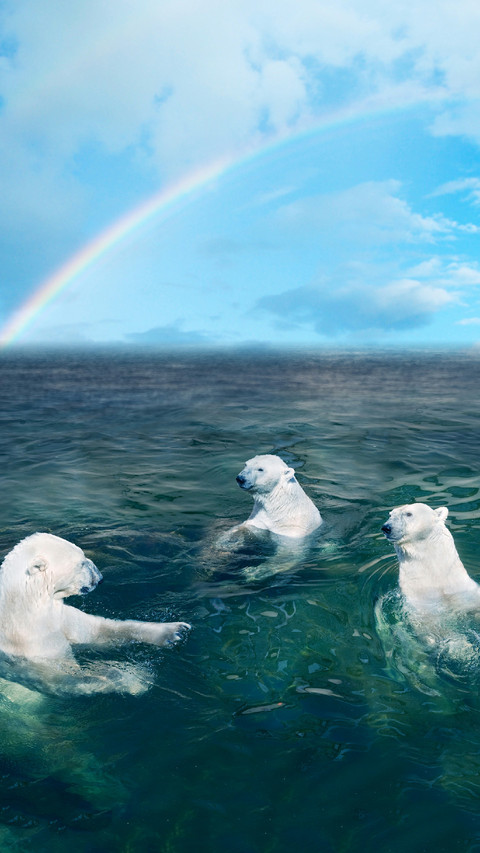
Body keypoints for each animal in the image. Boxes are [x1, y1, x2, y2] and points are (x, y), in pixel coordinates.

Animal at [0, 532, 191, 696]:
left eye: (83, 555)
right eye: (81, 563)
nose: (100, 578)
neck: (28, 606)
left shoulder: (60, 617)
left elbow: (100, 630)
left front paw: (174, 631)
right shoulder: (31, 645)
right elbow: (65, 677)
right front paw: (136, 677)